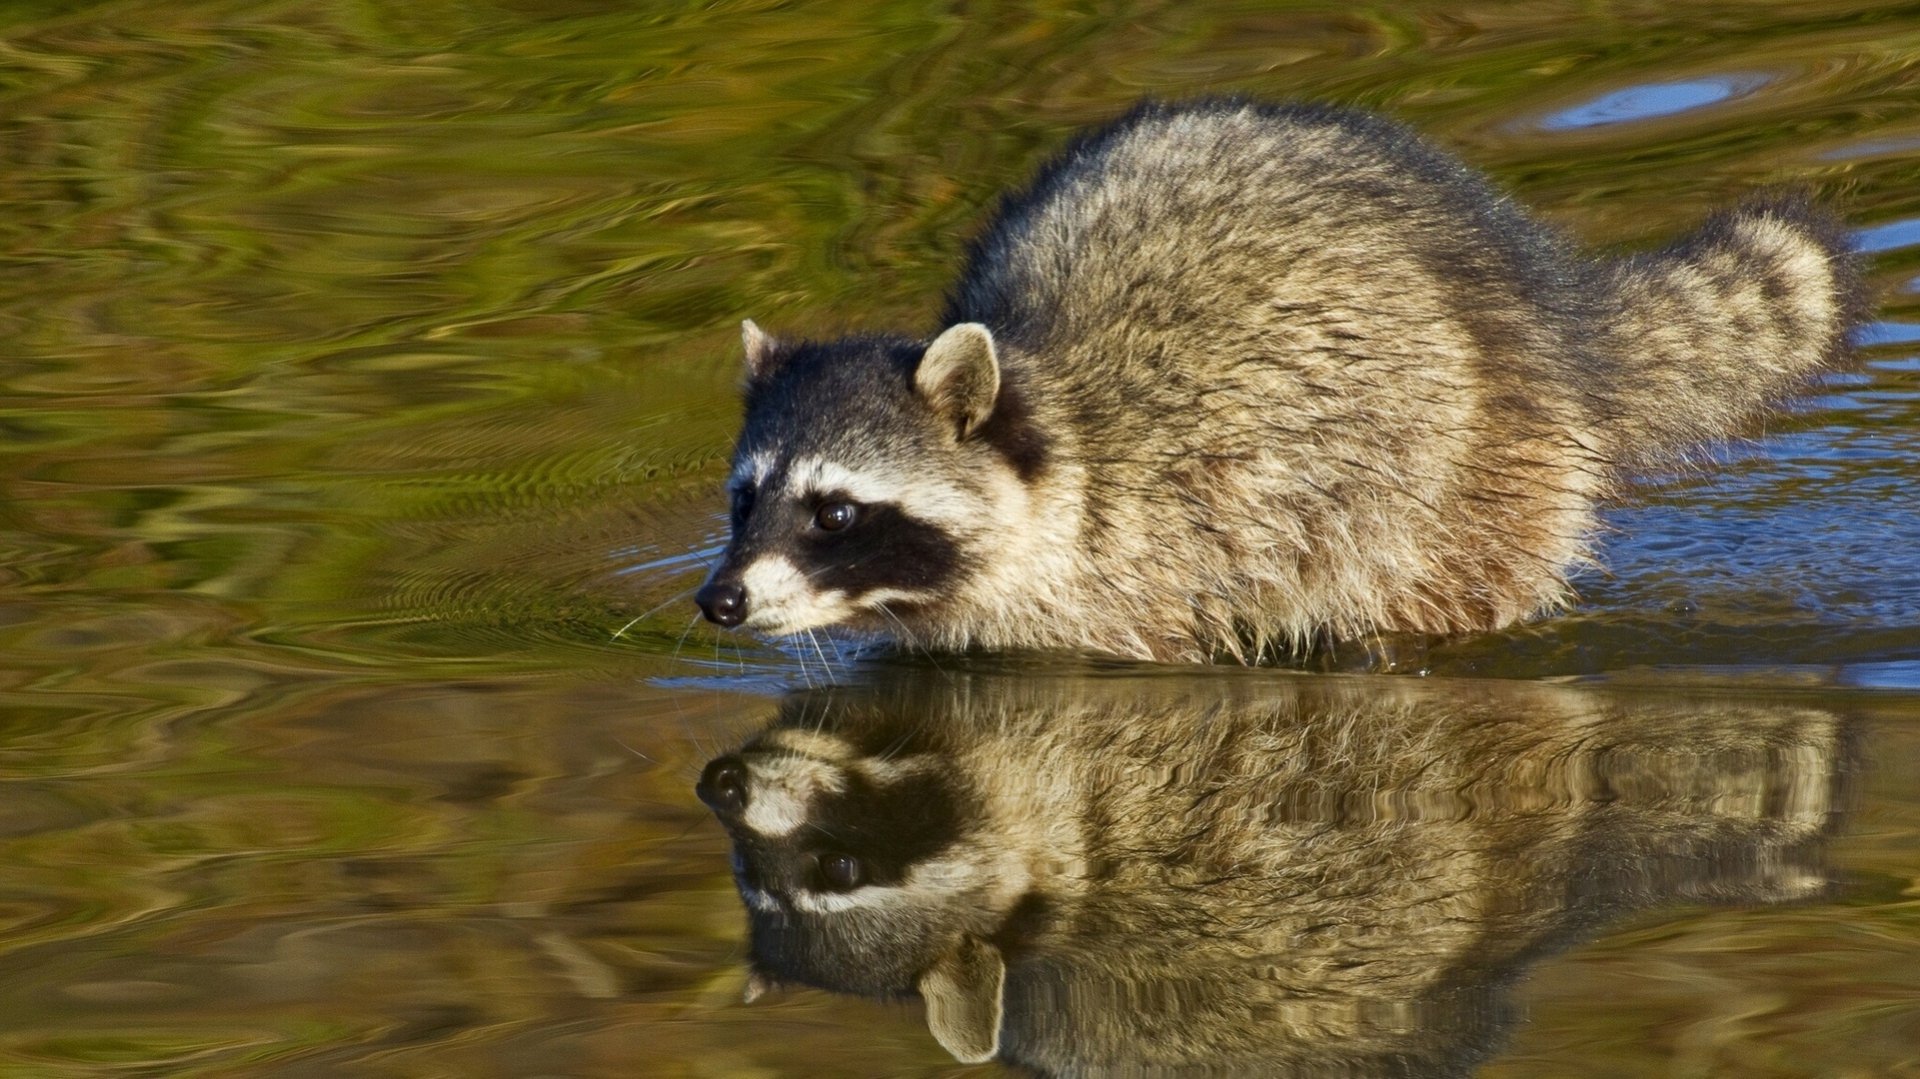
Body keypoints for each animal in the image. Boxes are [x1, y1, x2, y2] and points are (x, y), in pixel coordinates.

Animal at [698, 96, 1866, 660]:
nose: (719, 598)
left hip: (1468, 468)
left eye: (836, 512)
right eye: (744, 499)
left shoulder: (1175, 558)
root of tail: (1541, 301)